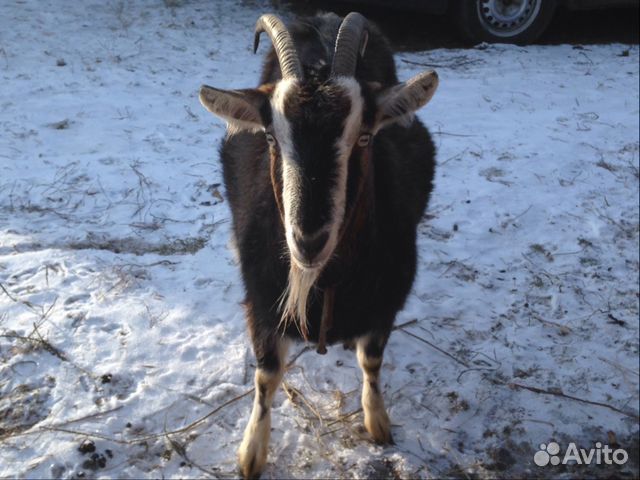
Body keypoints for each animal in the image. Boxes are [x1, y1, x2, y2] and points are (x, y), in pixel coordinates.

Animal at [200, 10, 440, 476]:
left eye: (364, 136)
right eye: (271, 138)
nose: (308, 241)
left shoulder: (387, 297)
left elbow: (371, 360)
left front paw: (378, 422)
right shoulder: (262, 298)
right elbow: (266, 374)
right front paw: (251, 452)